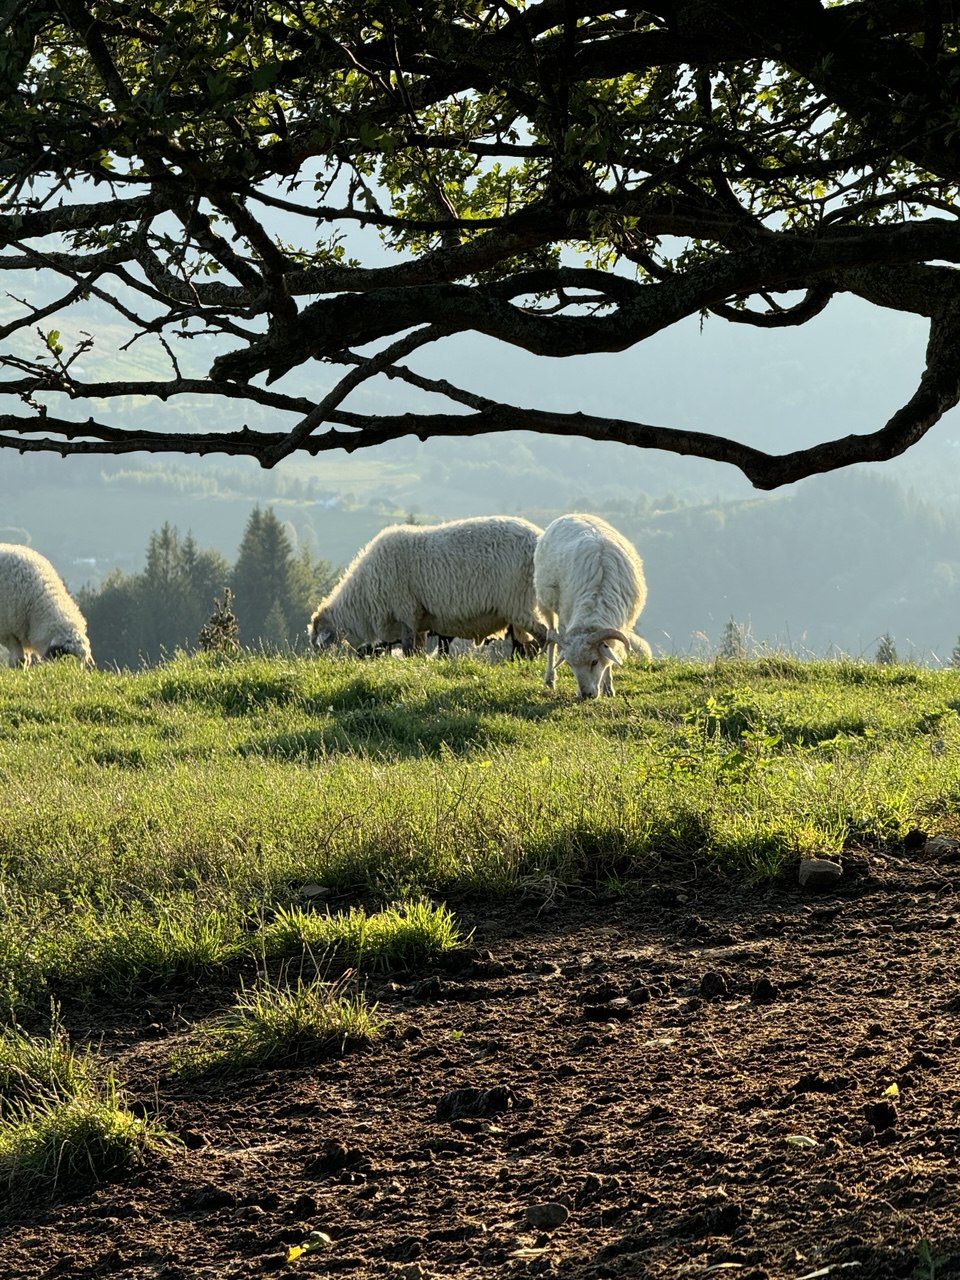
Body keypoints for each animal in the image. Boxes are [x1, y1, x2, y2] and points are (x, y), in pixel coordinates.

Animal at [309, 516, 547, 657]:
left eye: (320, 643)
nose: (322, 665)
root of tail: (538, 538)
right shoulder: (419, 620)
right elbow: (417, 651)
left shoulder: (405, 612)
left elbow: (408, 649)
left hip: (518, 602)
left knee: (543, 636)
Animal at [533, 513, 648, 699]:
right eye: (570, 664)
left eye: (594, 661)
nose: (585, 694)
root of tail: (571, 514)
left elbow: (610, 657)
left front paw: (608, 687)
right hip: (545, 602)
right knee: (551, 636)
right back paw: (550, 678)